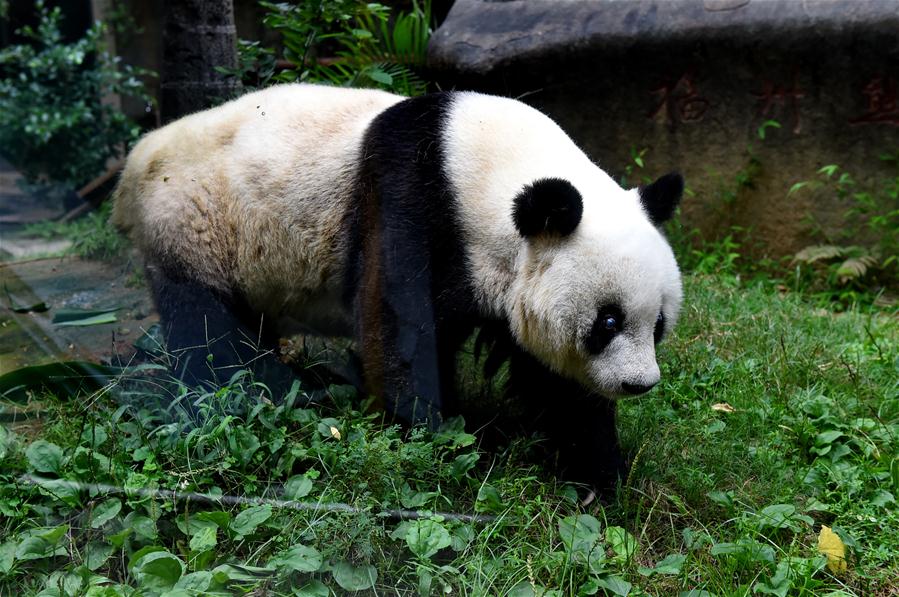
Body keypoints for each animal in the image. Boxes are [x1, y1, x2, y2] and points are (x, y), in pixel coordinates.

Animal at [112, 83, 684, 492]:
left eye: (657, 324)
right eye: (607, 321)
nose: (640, 383)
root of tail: (136, 159)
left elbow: (551, 375)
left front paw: (599, 474)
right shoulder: (414, 204)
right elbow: (402, 330)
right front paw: (434, 443)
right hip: (194, 224)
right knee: (208, 331)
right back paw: (244, 395)